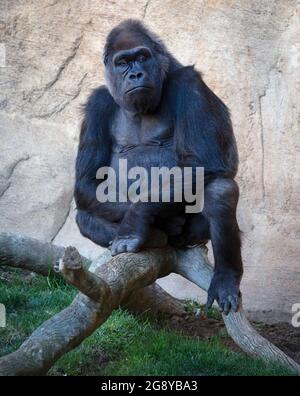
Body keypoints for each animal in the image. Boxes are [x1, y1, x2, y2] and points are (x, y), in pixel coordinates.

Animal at [74, 19, 243, 316]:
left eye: (142, 57)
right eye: (123, 62)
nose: (135, 74)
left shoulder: (190, 84)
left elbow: (205, 162)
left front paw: (134, 220)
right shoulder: (97, 104)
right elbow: (87, 182)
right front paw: (142, 223)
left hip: (193, 236)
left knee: (221, 190)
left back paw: (226, 277)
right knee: (84, 214)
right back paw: (155, 235)